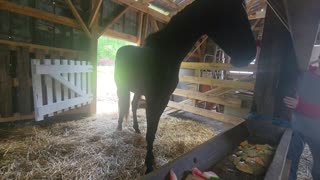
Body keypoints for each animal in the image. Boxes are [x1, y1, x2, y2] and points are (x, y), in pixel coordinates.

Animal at [114, 0, 256, 174]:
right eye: (232, 11)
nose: (251, 54)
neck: (164, 55)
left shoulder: (162, 99)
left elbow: (153, 130)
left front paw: (151, 159)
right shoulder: (153, 98)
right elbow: (151, 131)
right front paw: (148, 165)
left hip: (138, 90)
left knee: (133, 105)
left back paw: (136, 128)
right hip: (122, 87)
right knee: (121, 104)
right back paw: (119, 127)